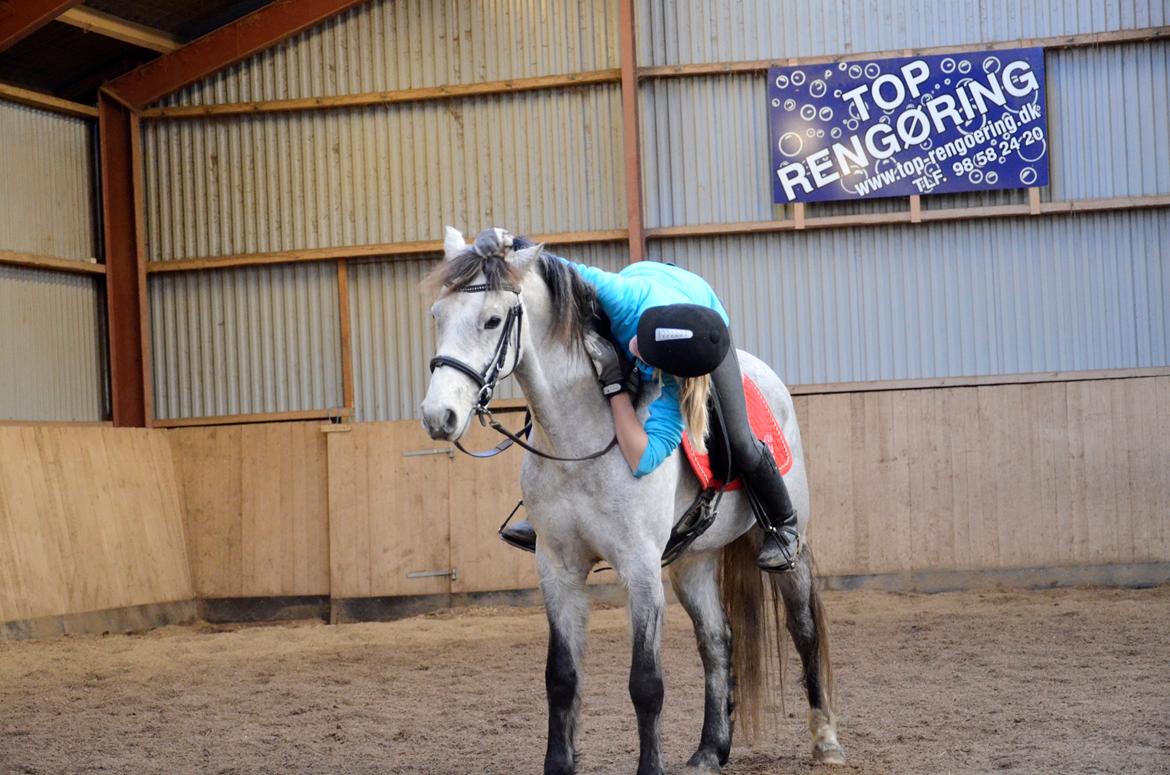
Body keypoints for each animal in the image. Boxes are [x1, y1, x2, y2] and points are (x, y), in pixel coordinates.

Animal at [420, 228, 845, 775]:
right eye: (438, 316)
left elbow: (646, 684)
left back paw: (826, 741)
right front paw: (559, 765)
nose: (439, 416)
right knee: (717, 641)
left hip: (784, 548)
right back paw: (710, 751)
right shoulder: (557, 568)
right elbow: (561, 678)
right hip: (692, 562)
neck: (580, 438)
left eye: (493, 319)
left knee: (804, 629)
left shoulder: (639, 568)